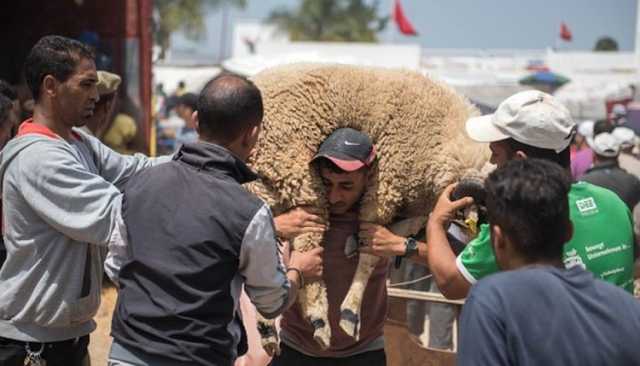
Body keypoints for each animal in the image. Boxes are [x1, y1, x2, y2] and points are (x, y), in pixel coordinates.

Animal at [245, 63, 490, 354]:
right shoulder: (384, 188)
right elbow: (370, 256)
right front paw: (349, 314)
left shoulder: (414, 208)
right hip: (298, 174)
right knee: (306, 244)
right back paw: (318, 318)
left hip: (264, 185)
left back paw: (268, 326)